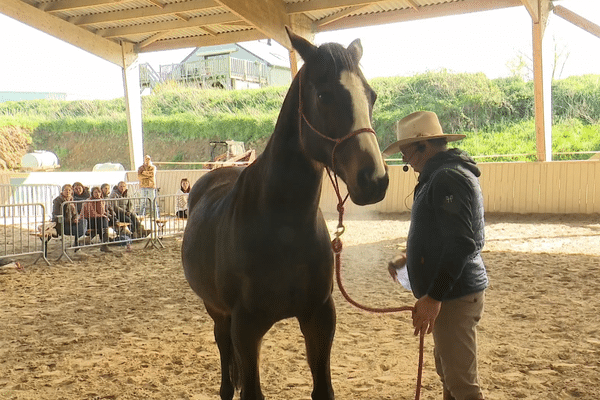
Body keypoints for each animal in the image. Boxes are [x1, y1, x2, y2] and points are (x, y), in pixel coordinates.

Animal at [182, 28, 390, 400]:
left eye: (372, 96)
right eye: (323, 95)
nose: (375, 180)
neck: (282, 229)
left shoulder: (319, 317)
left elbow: (323, 388)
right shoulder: (246, 328)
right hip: (217, 312)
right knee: (223, 356)